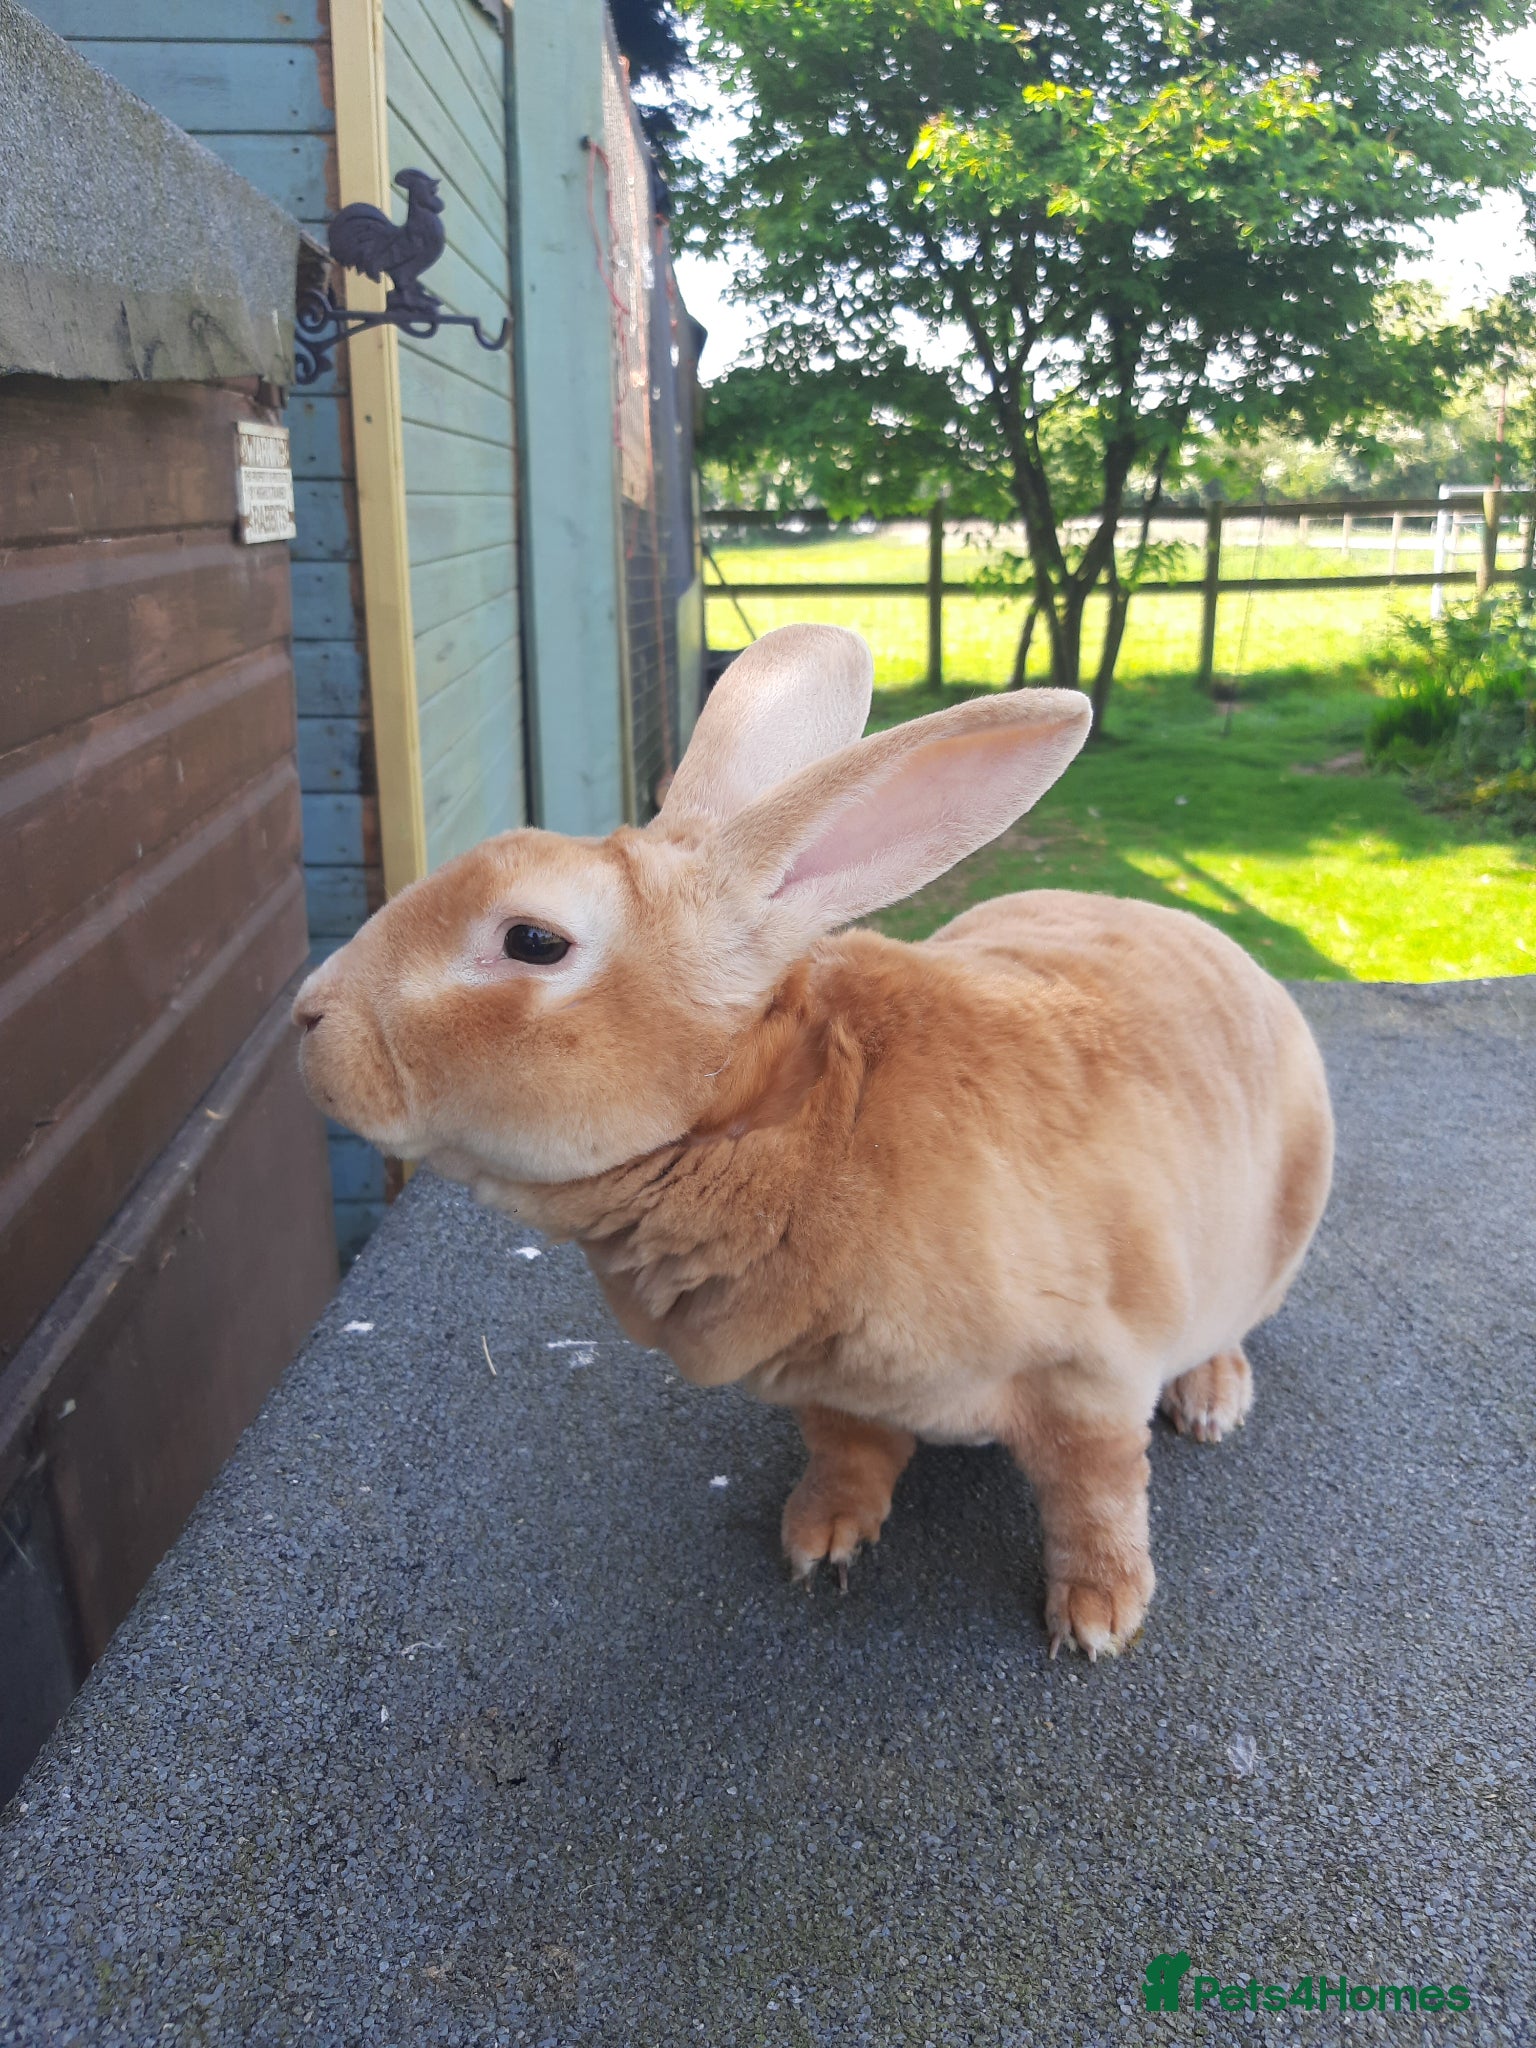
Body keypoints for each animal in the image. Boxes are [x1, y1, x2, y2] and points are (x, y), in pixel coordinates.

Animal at [293, 623, 1333, 1658]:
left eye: (535, 942)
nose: (309, 1015)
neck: (795, 1121)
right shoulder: (834, 1388)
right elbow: (849, 1453)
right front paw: (820, 1537)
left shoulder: (1091, 1376)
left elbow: (1097, 1492)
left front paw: (1098, 1616)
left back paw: (1212, 1397)